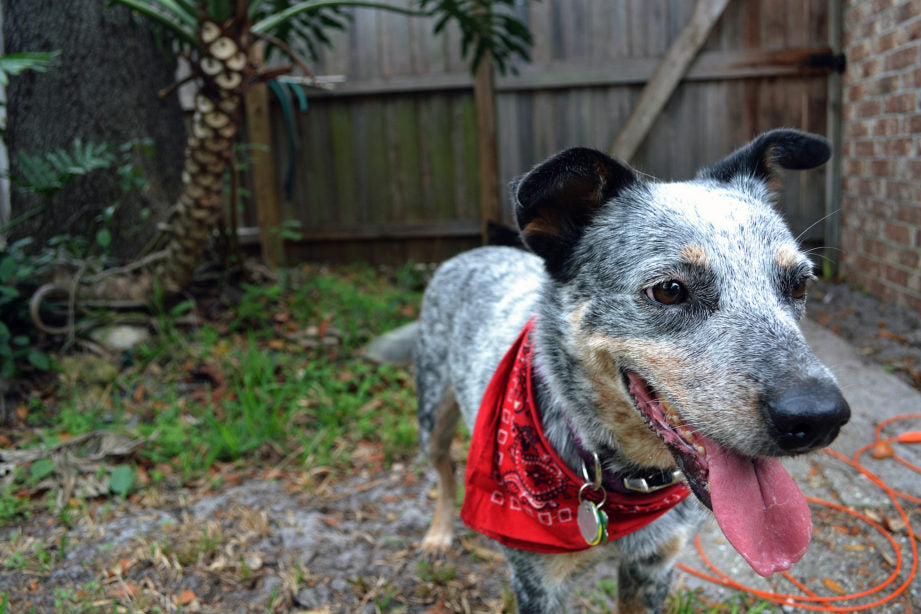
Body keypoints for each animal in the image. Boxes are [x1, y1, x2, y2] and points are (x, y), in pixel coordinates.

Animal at [414, 129, 852, 612]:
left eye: (798, 284)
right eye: (669, 290)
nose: (818, 417)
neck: (618, 479)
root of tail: (476, 252)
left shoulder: (654, 566)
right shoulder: (538, 583)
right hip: (432, 416)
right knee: (444, 472)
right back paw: (437, 535)